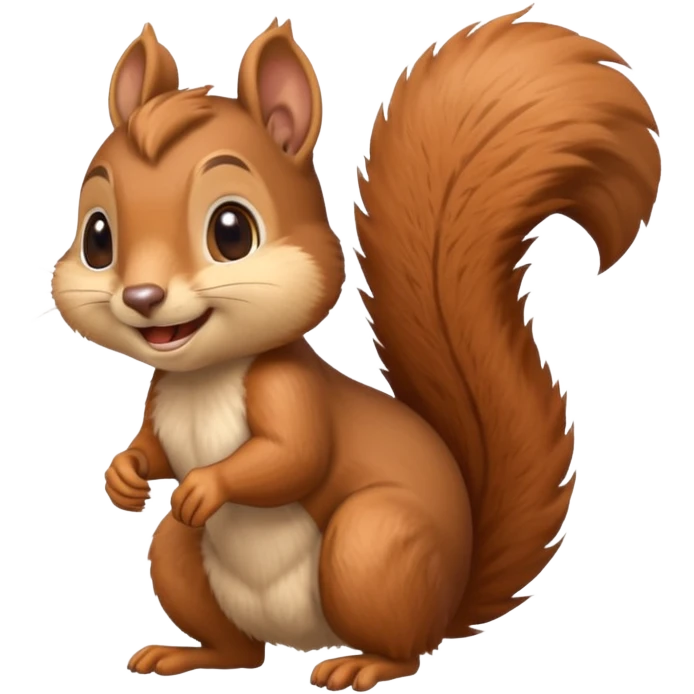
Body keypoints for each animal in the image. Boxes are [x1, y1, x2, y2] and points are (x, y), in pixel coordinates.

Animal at [52, 6, 661, 691]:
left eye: (231, 232)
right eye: (97, 237)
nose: (143, 296)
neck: (204, 376)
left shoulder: (289, 391)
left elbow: (294, 456)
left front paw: (205, 484)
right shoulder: (160, 398)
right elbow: (153, 448)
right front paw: (123, 475)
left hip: (372, 546)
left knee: (404, 648)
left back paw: (362, 664)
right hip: (184, 558)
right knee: (238, 648)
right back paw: (189, 654)